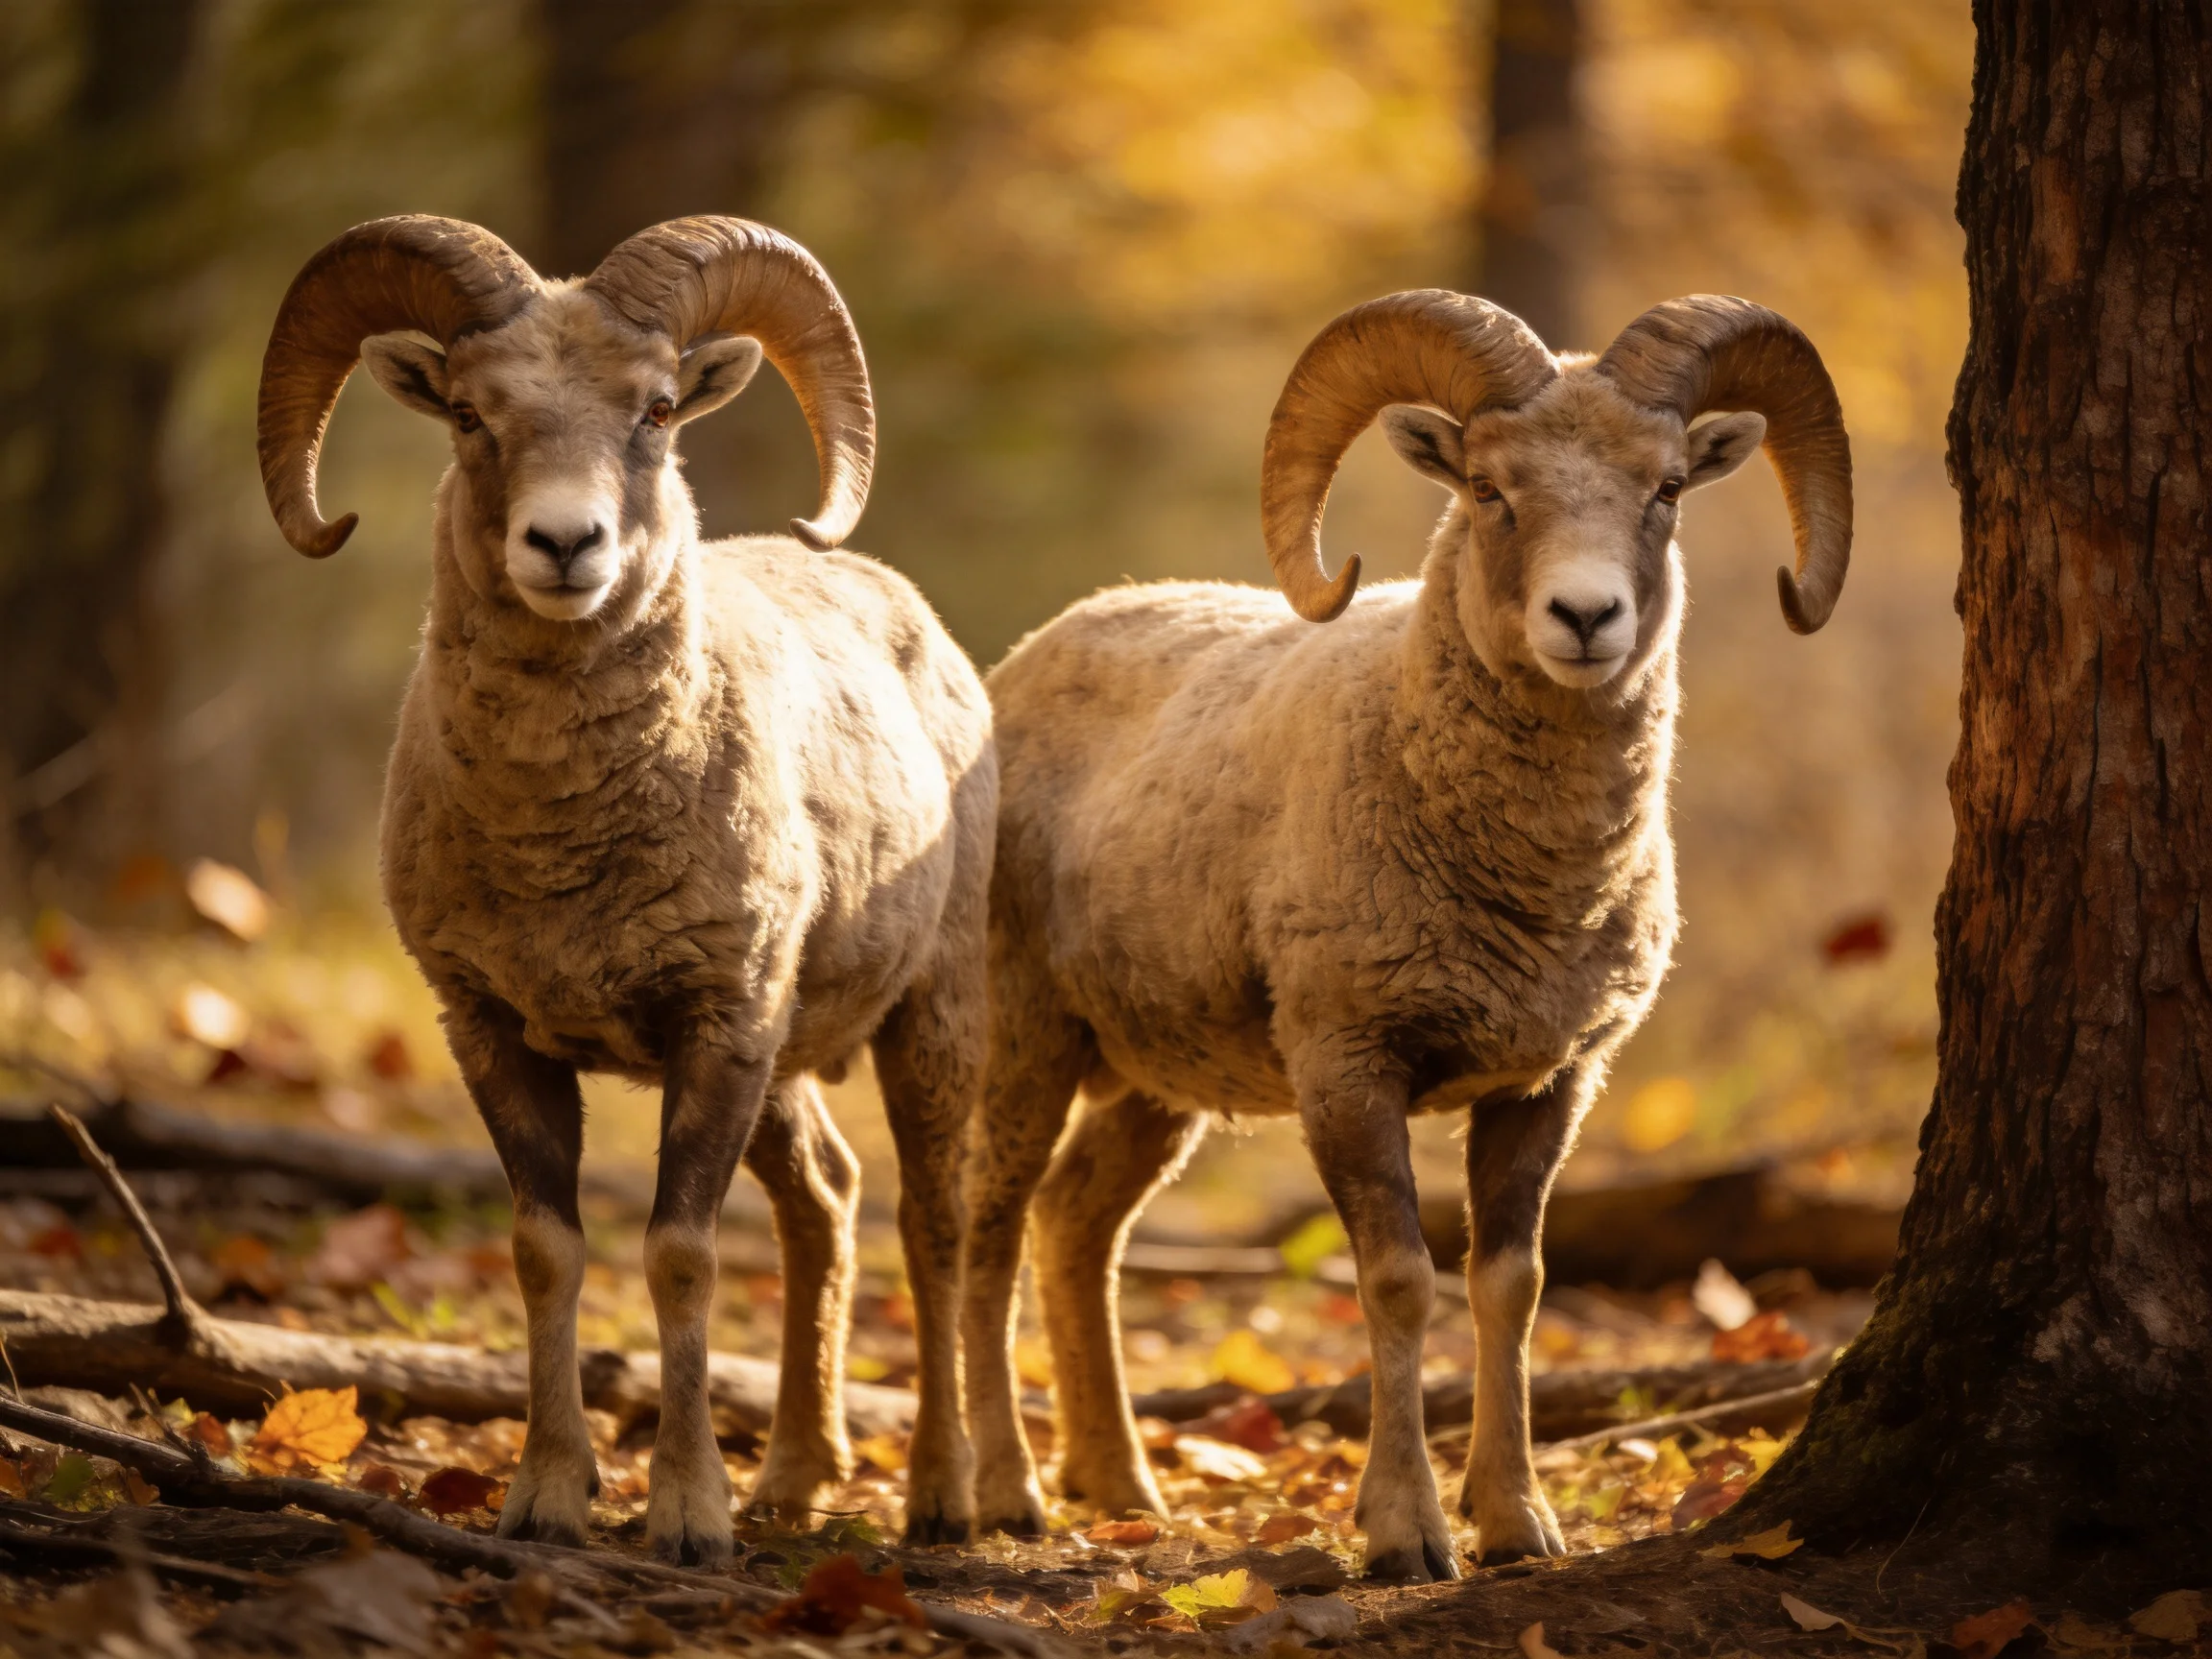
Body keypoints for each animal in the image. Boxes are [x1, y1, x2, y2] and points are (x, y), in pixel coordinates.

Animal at [255, 215, 995, 1563]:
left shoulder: (717, 1026)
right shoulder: (497, 1032)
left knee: (933, 1227)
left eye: (655, 410)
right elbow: (547, 1252)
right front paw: (547, 1501)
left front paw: (690, 1521)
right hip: (786, 1068)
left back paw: (943, 1500)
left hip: (930, 1020)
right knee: (824, 1205)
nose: (565, 546)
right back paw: (795, 1483)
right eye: (471, 413)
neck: (563, 855)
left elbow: (682, 1257)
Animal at [959, 290, 1851, 1580]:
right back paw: (1003, 1496)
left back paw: (1122, 1485)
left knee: (1077, 1223)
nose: (1587, 618)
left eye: (1669, 487)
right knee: (984, 1223)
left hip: (1155, 1083)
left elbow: (1509, 1284)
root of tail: (1021, 664)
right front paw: (1405, 1535)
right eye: (1487, 487)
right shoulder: (1349, 1066)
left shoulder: (1551, 1082)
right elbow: (1397, 1282)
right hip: (1024, 1033)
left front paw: (1517, 1524)